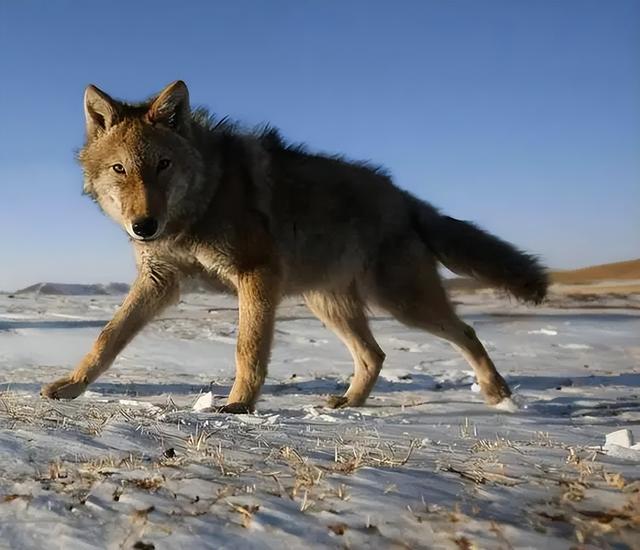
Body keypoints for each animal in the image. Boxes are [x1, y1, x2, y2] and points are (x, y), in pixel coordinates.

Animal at [42, 82, 548, 414]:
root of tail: (402, 196)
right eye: (120, 169)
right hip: (330, 305)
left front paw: (239, 405)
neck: (204, 200)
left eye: (163, 165)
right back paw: (349, 402)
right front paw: (71, 386)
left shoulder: (257, 275)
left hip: (402, 303)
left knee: (466, 332)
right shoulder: (160, 281)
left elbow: (247, 348)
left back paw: (496, 393)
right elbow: (107, 338)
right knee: (376, 355)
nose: (144, 226)